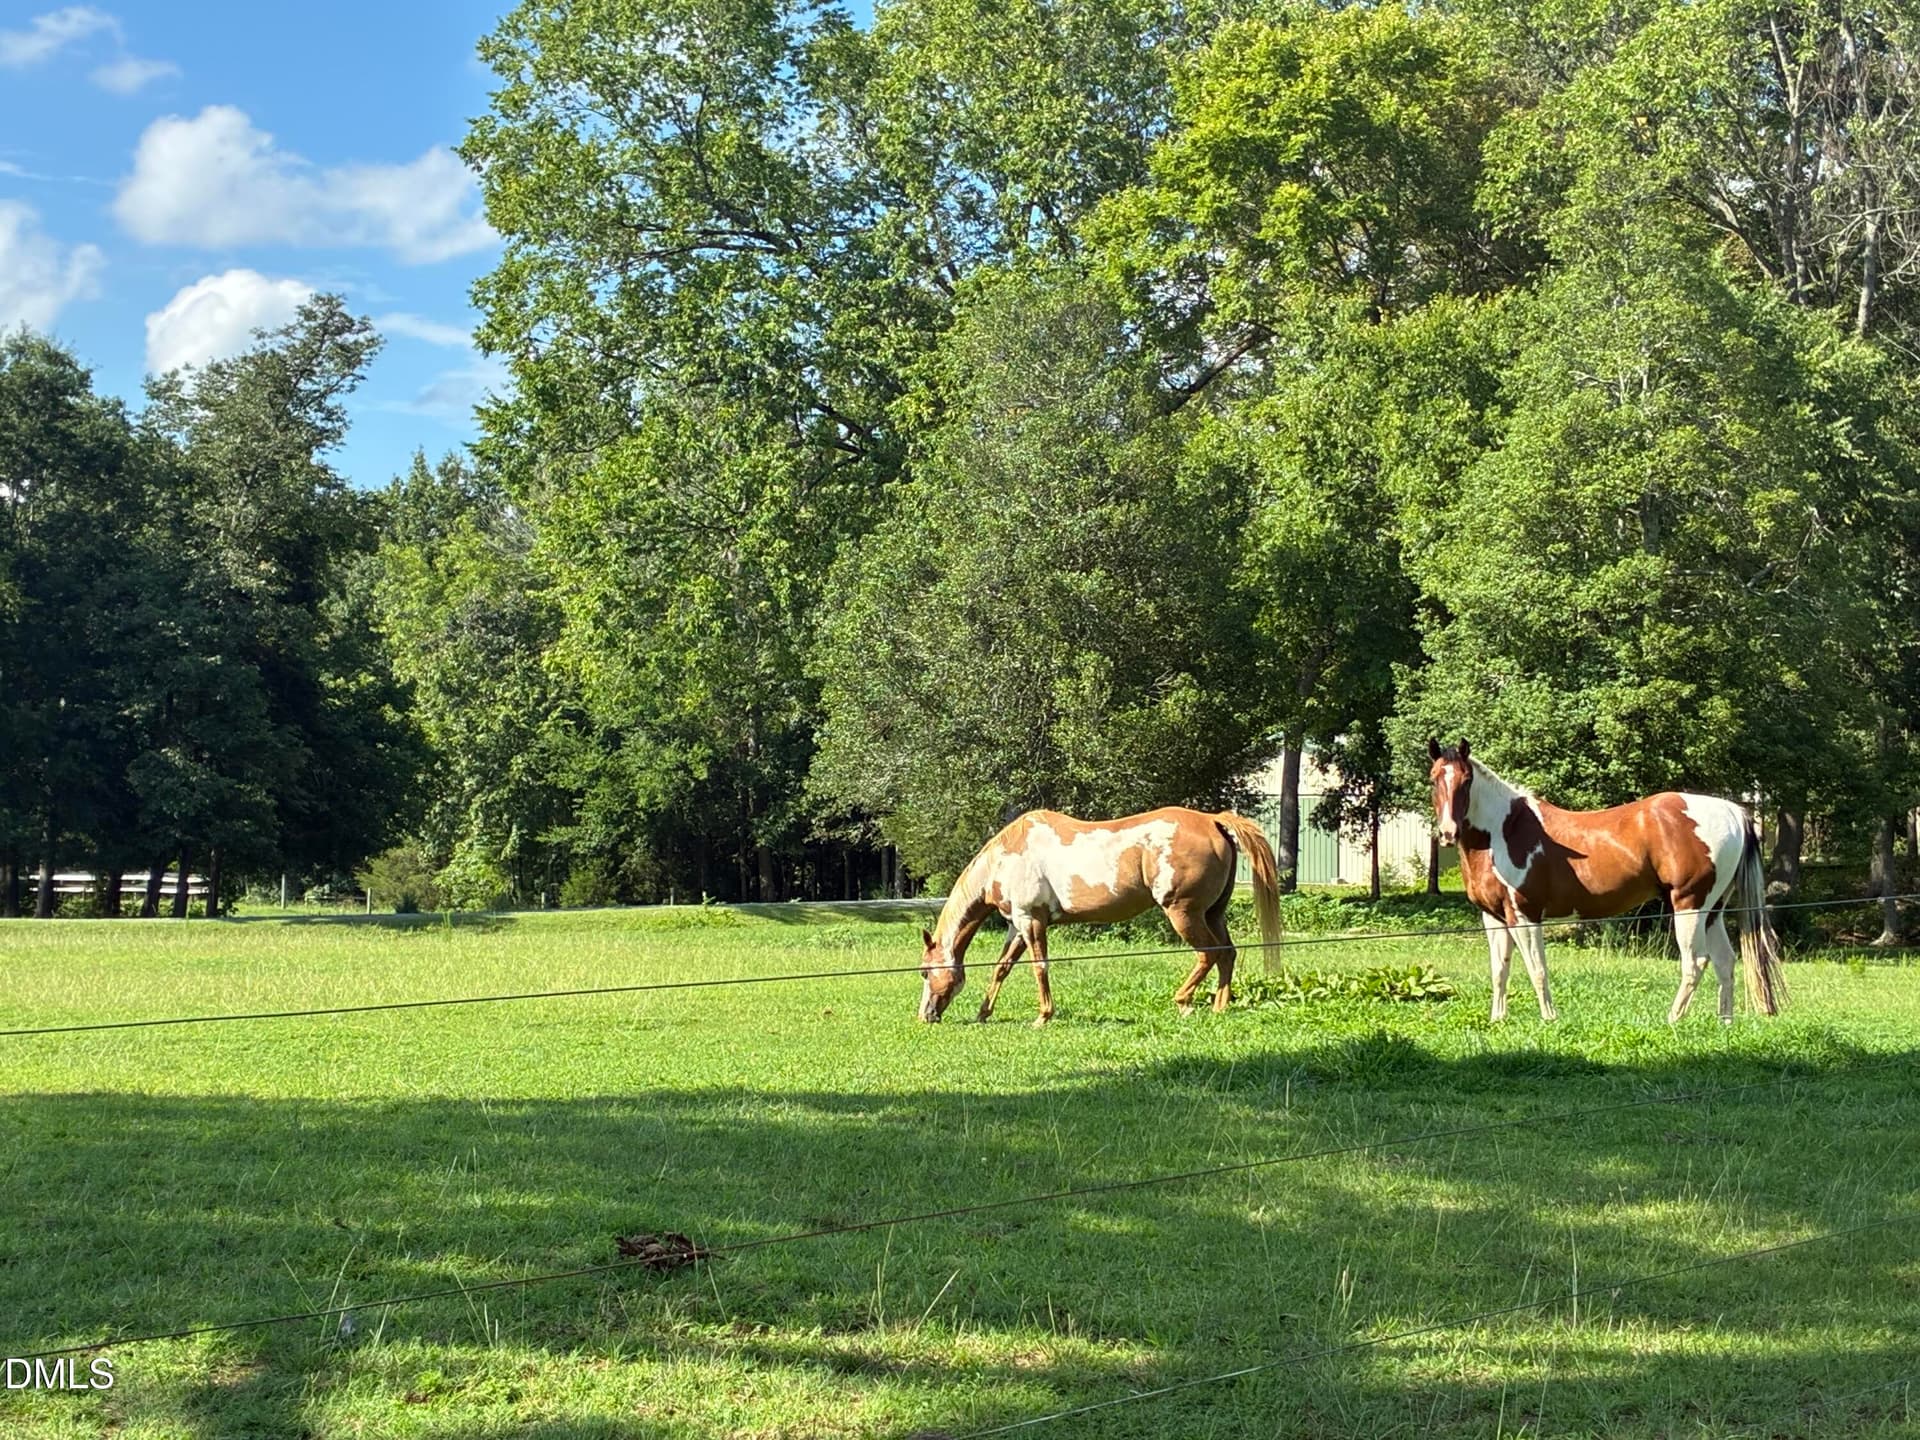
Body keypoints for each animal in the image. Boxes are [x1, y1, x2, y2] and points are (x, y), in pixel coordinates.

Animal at [917, 807, 1283, 1024]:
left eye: (923, 972)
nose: (925, 1015)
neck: (1006, 857)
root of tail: (1212, 820)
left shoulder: (1031, 921)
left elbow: (1039, 967)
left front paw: (1043, 1016)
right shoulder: (1017, 926)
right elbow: (1001, 968)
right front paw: (983, 1013)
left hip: (1184, 913)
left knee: (1208, 954)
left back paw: (1183, 1002)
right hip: (1213, 913)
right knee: (1227, 954)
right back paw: (1220, 1006)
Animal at [1426, 738, 1785, 1024]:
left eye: (1466, 780)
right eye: (1434, 779)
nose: (1447, 832)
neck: (1506, 831)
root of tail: (1733, 812)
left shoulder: (1525, 915)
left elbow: (1537, 968)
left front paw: (1549, 1018)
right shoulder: (1494, 917)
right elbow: (1500, 970)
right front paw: (1497, 1019)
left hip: (1689, 905)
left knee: (1696, 961)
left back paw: (1673, 1019)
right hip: (1713, 910)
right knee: (1725, 961)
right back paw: (1725, 1023)